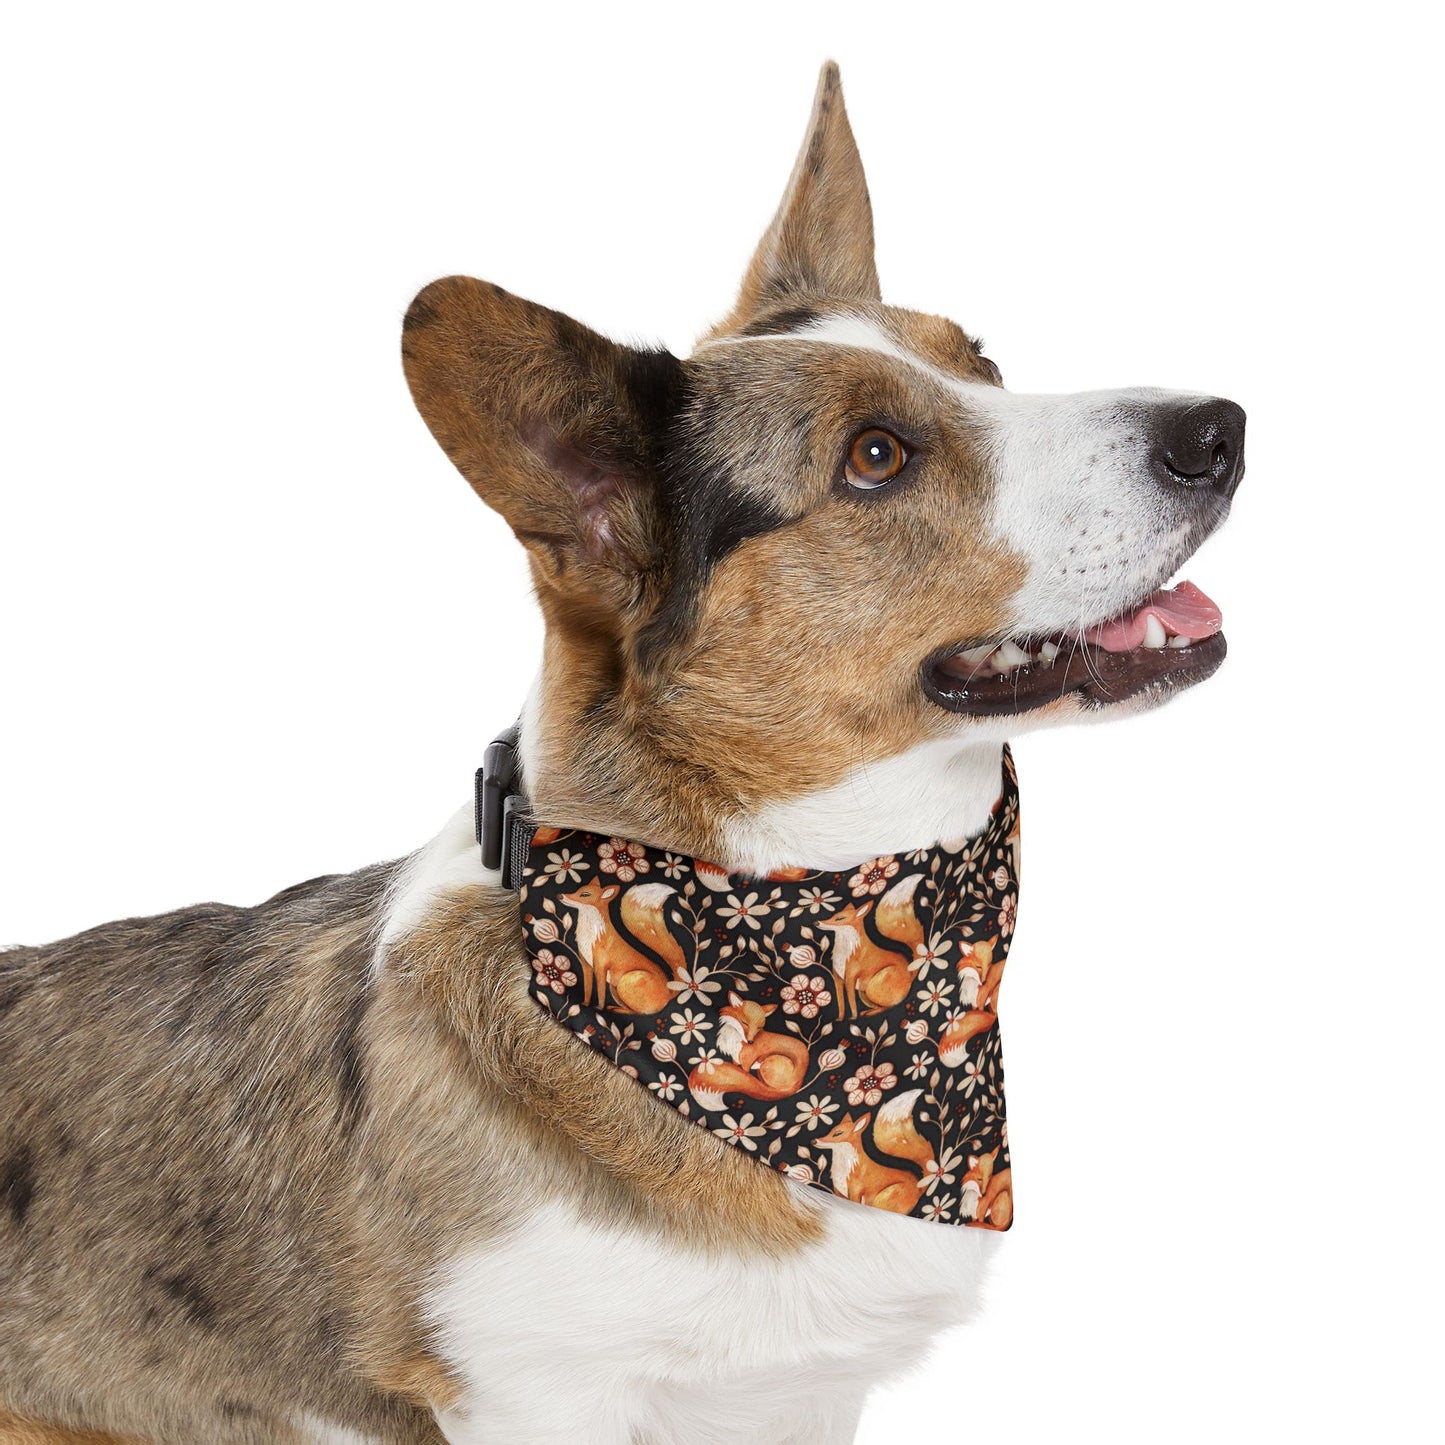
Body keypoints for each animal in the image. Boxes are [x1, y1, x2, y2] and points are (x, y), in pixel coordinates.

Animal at [557, 877, 683, 1014]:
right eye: (577, 890)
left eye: (585, 894)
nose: (560, 896)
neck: (591, 935)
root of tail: (669, 992)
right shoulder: (586, 964)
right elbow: (587, 989)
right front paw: (585, 1004)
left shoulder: (601, 967)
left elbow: (600, 993)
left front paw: (599, 1008)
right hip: (614, 988)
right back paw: (614, 1008)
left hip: (624, 982)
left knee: (640, 1012)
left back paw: (615, 1010)